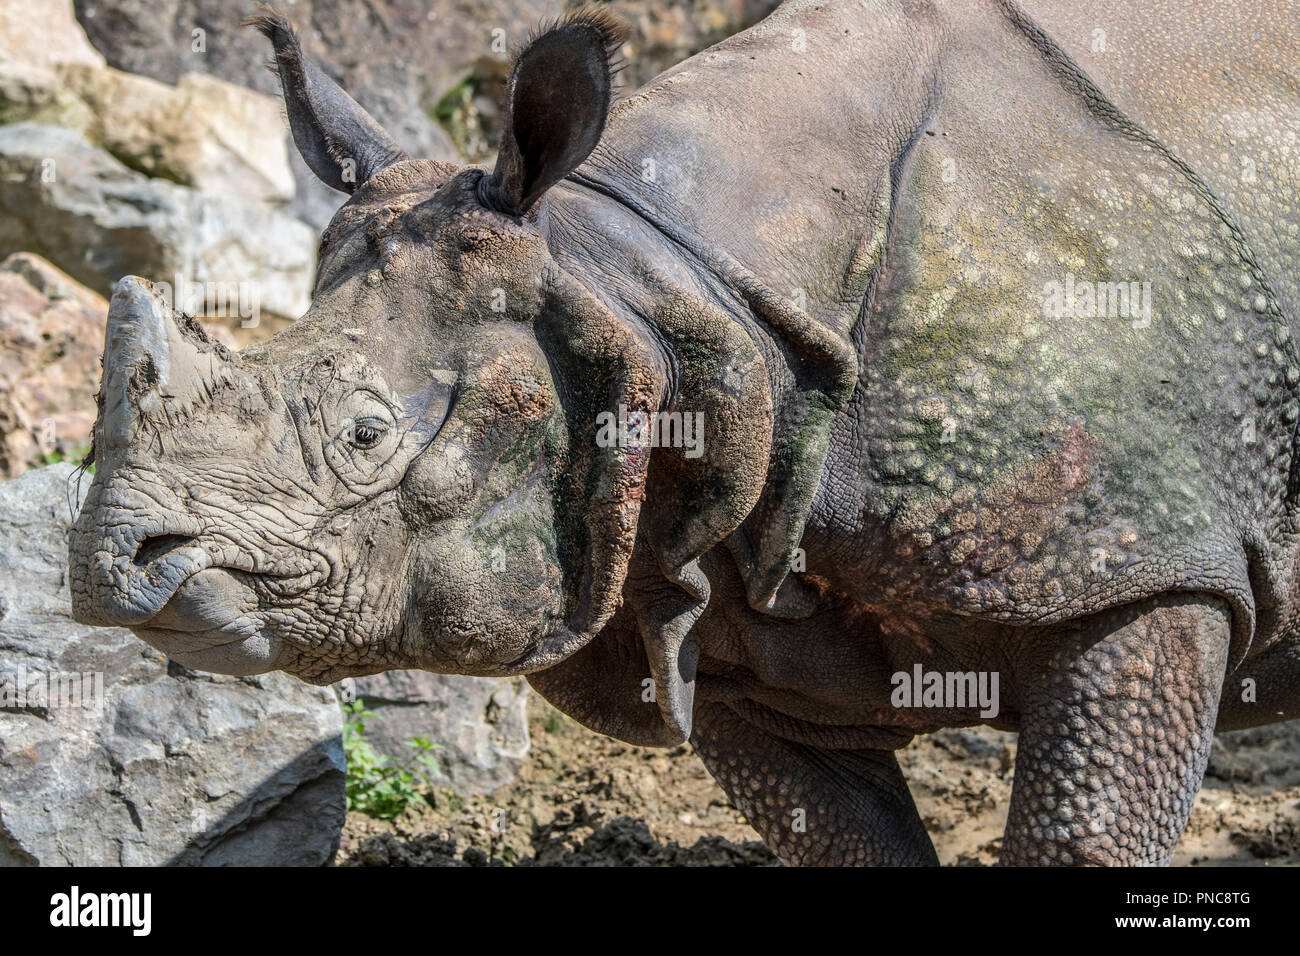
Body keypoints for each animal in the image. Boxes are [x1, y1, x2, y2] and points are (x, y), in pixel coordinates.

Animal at [68, 0, 1300, 866]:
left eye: (368, 433)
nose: (109, 569)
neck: (654, 294)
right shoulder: (716, 588)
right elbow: (845, 837)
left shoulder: (1142, 560)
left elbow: (1080, 833)